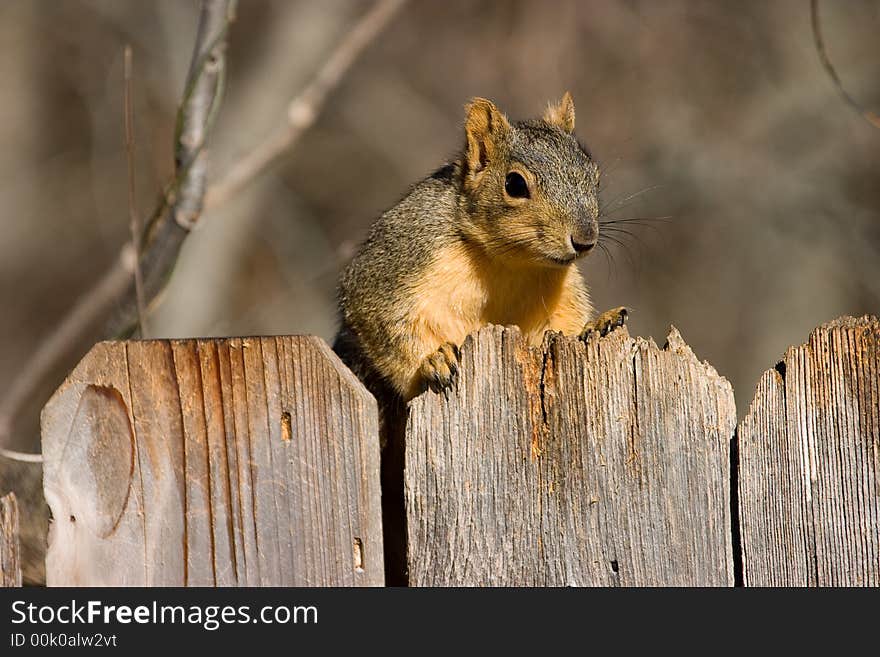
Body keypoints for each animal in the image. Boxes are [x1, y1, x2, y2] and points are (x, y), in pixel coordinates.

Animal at [334, 92, 628, 410]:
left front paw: (597, 324)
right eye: (514, 184)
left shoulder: (560, 296)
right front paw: (432, 361)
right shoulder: (394, 263)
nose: (585, 240)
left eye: (594, 177)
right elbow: (386, 328)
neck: (507, 261)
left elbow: (562, 325)